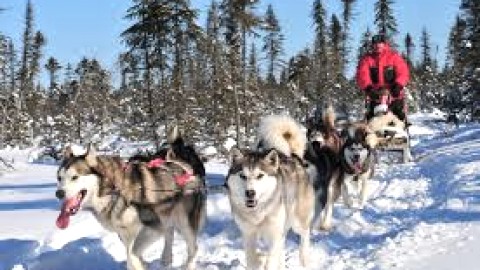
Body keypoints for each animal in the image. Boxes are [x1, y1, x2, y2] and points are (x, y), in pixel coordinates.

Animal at [55, 132, 205, 268]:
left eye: (75, 177)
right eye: (59, 178)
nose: (59, 193)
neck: (114, 191)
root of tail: (183, 164)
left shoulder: (153, 227)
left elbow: (132, 255)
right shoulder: (125, 234)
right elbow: (130, 257)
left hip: (184, 222)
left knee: (193, 248)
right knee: (169, 232)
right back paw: (166, 259)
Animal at [226, 114, 316, 270]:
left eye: (260, 176)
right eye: (242, 176)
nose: (250, 193)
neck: (257, 213)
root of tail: (293, 158)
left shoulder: (273, 234)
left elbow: (270, 260)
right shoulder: (248, 234)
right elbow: (253, 260)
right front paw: (258, 261)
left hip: (298, 221)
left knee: (304, 235)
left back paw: (304, 259)